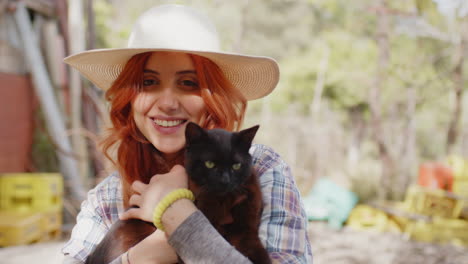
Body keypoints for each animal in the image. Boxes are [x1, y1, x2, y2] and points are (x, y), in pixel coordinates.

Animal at [85, 122, 270, 264]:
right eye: (210, 164)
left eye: (236, 166)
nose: (225, 180)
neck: (224, 200)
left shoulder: (246, 230)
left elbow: (258, 252)